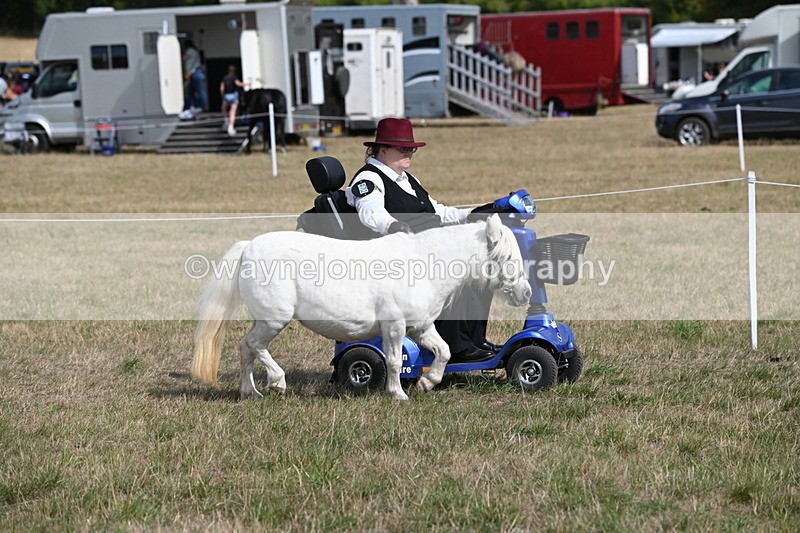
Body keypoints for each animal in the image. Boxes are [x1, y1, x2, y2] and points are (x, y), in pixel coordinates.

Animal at [191, 215, 532, 401]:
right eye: (506, 257)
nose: (526, 293)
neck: (421, 265)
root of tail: (248, 246)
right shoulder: (394, 326)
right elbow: (394, 360)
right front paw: (398, 394)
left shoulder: (420, 326)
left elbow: (445, 352)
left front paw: (426, 382)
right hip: (274, 319)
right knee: (253, 345)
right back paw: (277, 381)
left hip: (264, 320)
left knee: (245, 348)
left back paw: (249, 391)